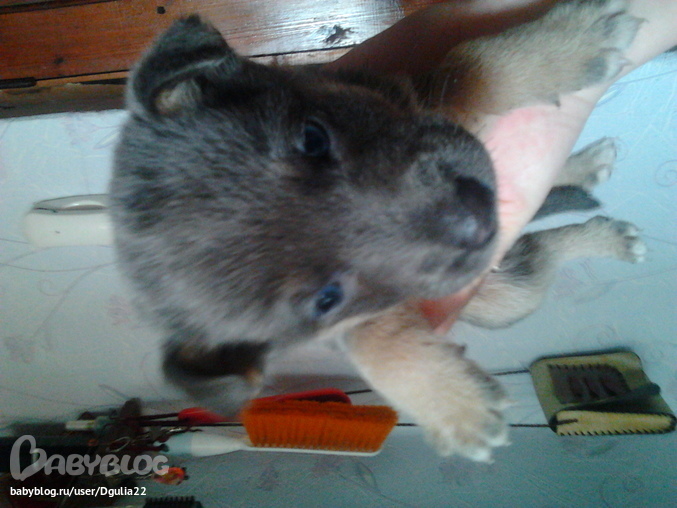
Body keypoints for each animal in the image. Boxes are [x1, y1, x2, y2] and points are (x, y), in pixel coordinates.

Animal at [110, 0, 645, 461]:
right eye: (326, 299)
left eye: (313, 138)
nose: (475, 218)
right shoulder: (364, 318)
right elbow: (376, 343)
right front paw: (451, 401)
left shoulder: (414, 93)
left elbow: (475, 63)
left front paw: (576, 40)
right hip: (506, 297)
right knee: (544, 250)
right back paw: (608, 232)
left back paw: (590, 176)